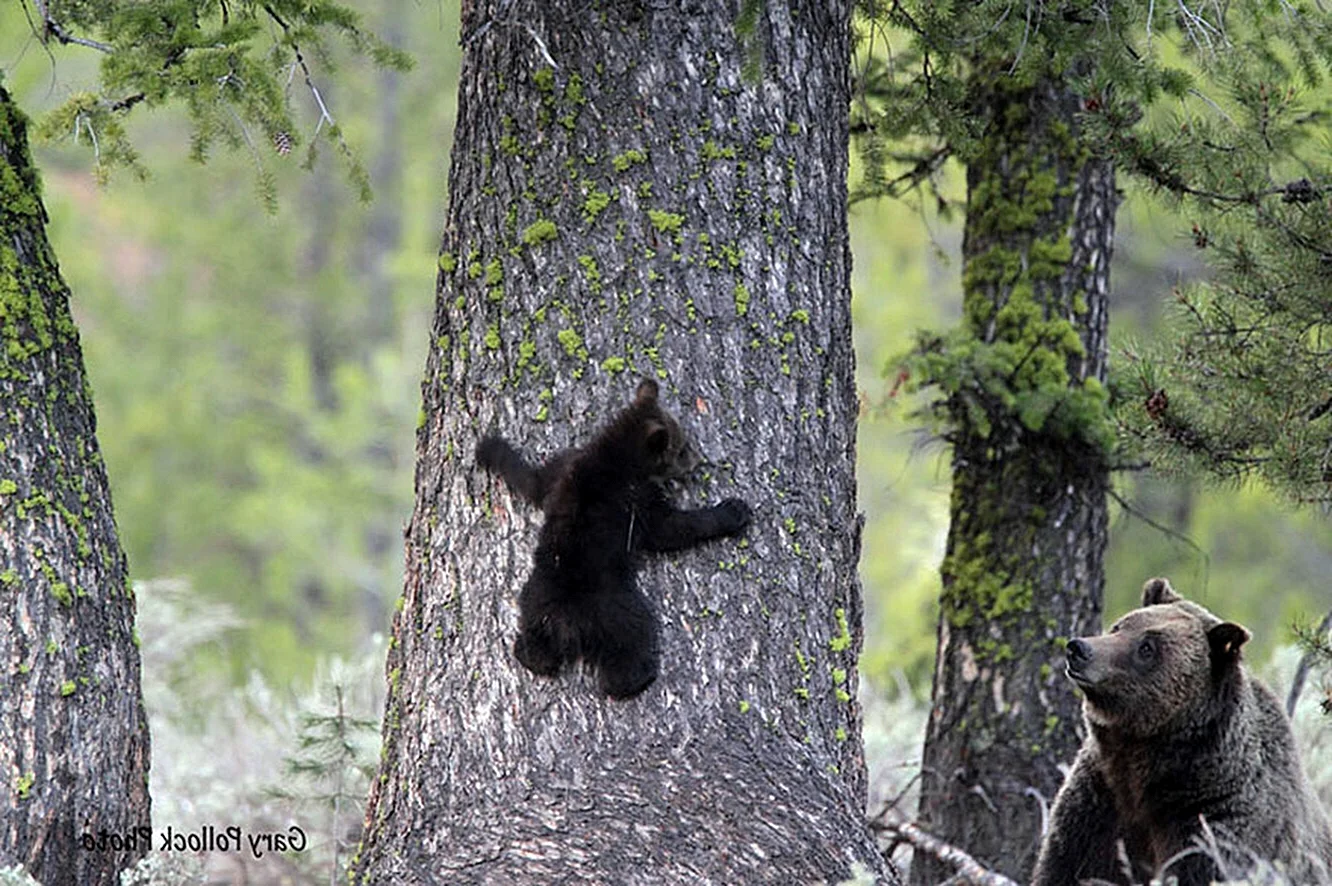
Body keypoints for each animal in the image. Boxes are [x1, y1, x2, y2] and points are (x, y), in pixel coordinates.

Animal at [476, 379, 752, 700]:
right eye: (682, 449)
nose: (700, 459)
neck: (615, 453)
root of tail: (564, 621)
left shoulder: (566, 466)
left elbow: (532, 479)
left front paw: (491, 447)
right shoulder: (636, 499)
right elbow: (669, 529)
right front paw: (732, 511)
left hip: (530, 601)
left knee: (535, 645)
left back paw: (527, 653)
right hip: (616, 609)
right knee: (631, 639)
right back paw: (637, 678)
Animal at [1032, 578, 1332, 886]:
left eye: (1147, 647)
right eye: (1119, 626)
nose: (1078, 648)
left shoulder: (1213, 822)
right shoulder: (1097, 808)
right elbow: (1065, 866)